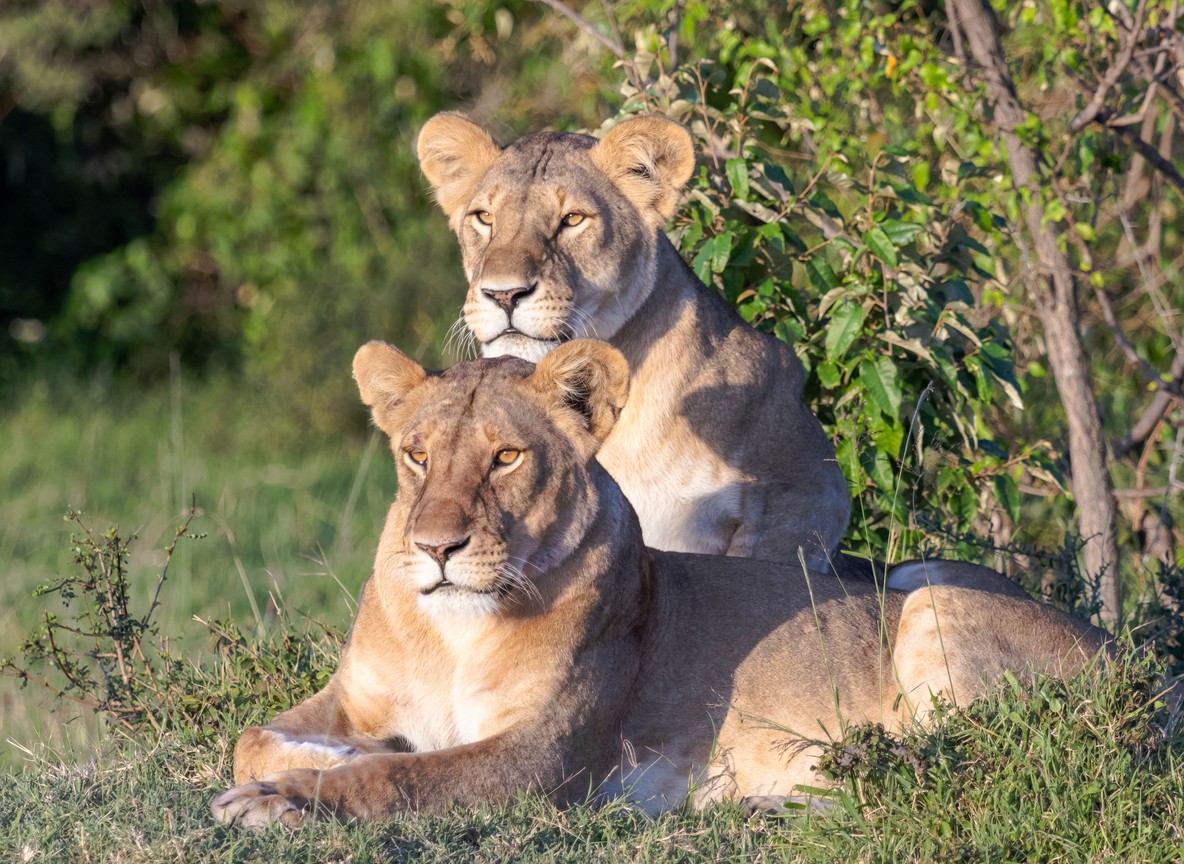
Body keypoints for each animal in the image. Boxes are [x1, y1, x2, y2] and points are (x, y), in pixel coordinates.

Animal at [211, 340, 1108, 827]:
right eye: (417, 455)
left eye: (506, 457)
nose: (436, 547)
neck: (451, 630)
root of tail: (1129, 662)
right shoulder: (355, 696)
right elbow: (254, 736)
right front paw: (307, 761)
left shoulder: (542, 759)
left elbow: (399, 776)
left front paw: (284, 799)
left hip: (932, 606)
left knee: (947, 777)